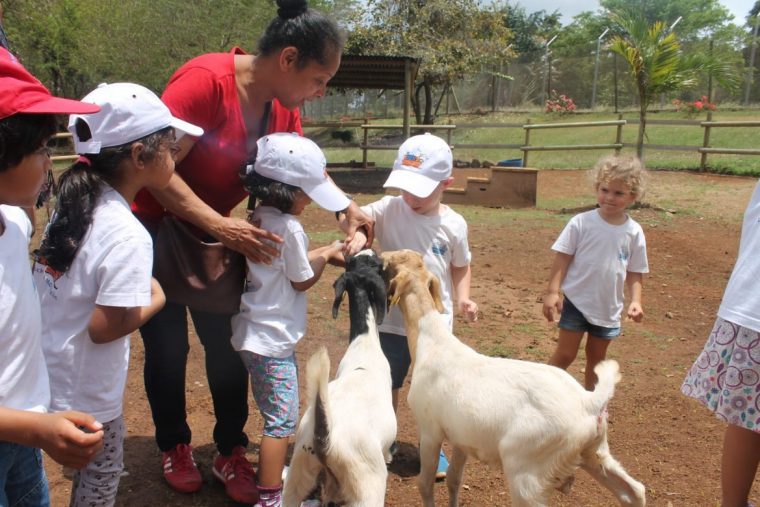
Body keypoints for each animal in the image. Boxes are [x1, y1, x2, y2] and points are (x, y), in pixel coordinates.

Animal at [382, 250, 644, 507]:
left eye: (389, 263)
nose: (381, 254)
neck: (431, 340)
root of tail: (589, 402)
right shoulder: (461, 437)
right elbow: (454, 480)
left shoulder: (429, 430)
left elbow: (425, 484)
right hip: (594, 451)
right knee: (634, 492)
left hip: (526, 468)